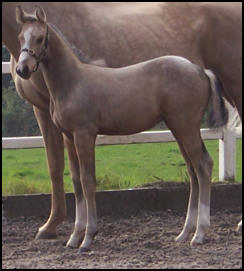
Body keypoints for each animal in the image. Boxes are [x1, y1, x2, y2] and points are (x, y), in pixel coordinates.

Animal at [2, 1, 242, 244]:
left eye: (40, 38)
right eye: (21, 37)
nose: (23, 69)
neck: (74, 80)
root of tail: (200, 70)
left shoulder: (84, 134)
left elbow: (88, 181)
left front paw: (88, 237)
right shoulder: (69, 135)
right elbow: (76, 180)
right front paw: (74, 236)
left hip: (187, 125)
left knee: (203, 165)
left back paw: (200, 233)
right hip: (179, 127)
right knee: (193, 169)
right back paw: (185, 233)